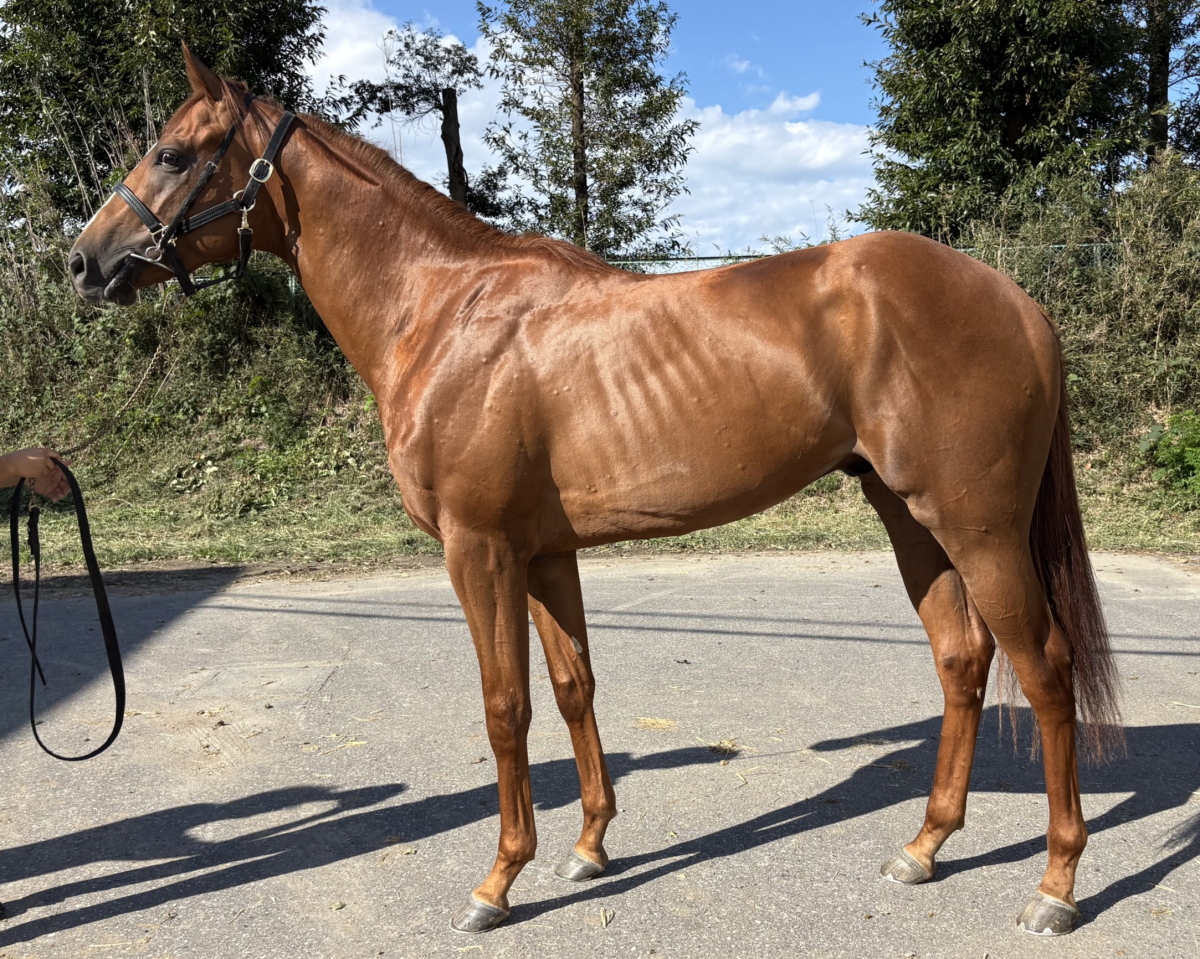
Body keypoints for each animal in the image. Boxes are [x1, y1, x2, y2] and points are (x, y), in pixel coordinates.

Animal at [67, 47, 1121, 937]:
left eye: (170, 153)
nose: (83, 262)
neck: (443, 313)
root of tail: (1019, 303)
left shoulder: (480, 548)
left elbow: (505, 707)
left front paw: (498, 881)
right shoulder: (543, 551)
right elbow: (573, 686)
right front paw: (588, 847)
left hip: (979, 528)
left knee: (1043, 668)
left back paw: (1056, 885)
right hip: (910, 518)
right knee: (961, 658)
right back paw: (924, 845)